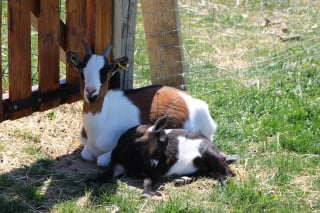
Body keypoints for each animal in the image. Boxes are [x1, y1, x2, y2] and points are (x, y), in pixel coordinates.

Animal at [67, 41, 218, 167]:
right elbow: (86, 154)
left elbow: (101, 160)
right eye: (81, 70)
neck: (99, 125)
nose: (90, 91)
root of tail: (193, 102)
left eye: (107, 72)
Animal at [94, 116, 235, 196]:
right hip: (202, 165)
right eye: (158, 148)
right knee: (207, 172)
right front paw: (93, 181)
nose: (154, 165)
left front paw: (147, 193)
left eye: (163, 151)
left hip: (210, 154)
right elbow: (106, 174)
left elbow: (148, 180)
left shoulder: (156, 172)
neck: (133, 159)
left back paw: (223, 185)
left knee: (228, 173)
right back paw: (182, 179)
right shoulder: (118, 165)